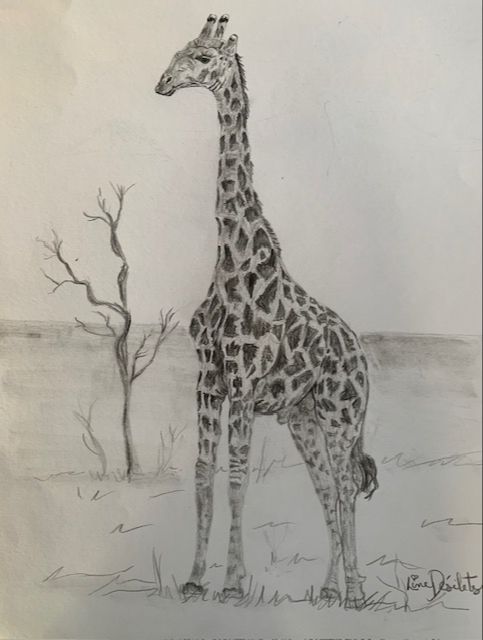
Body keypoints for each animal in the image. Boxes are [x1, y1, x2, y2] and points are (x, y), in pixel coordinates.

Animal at [155, 14, 378, 608]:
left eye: (203, 59)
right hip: (303, 418)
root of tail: (362, 358)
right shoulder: (209, 383)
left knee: (346, 487)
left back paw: (356, 593)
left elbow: (237, 476)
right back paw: (328, 591)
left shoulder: (243, 384)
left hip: (341, 415)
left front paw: (233, 584)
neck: (230, 260)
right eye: (178, 52)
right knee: (326, 489)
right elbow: (204, 473)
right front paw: (194, 579)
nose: (162, 83)